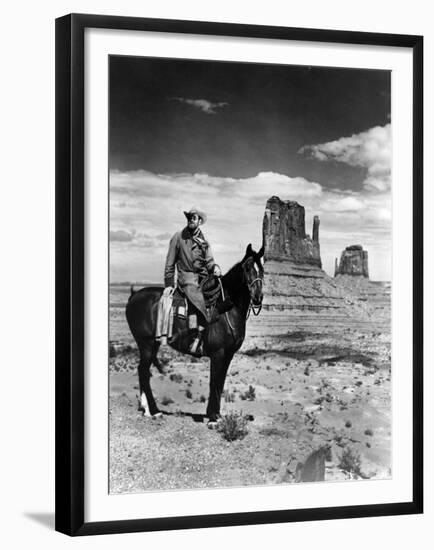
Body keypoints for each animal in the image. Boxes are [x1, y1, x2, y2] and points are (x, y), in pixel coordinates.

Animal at [124, 244, 262, 424]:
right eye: (247, 268)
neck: (227, 309)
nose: (258, 297)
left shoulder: (228, 355)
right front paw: (212, 417)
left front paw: (216, 415)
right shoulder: (218, 354)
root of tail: (133, 295)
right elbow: (214, 382)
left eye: (261, 269)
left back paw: (146, 409)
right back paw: (154, 411)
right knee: (143, 372)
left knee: (144, 372)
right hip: (146, 344)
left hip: (152, 345)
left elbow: (220, 382)